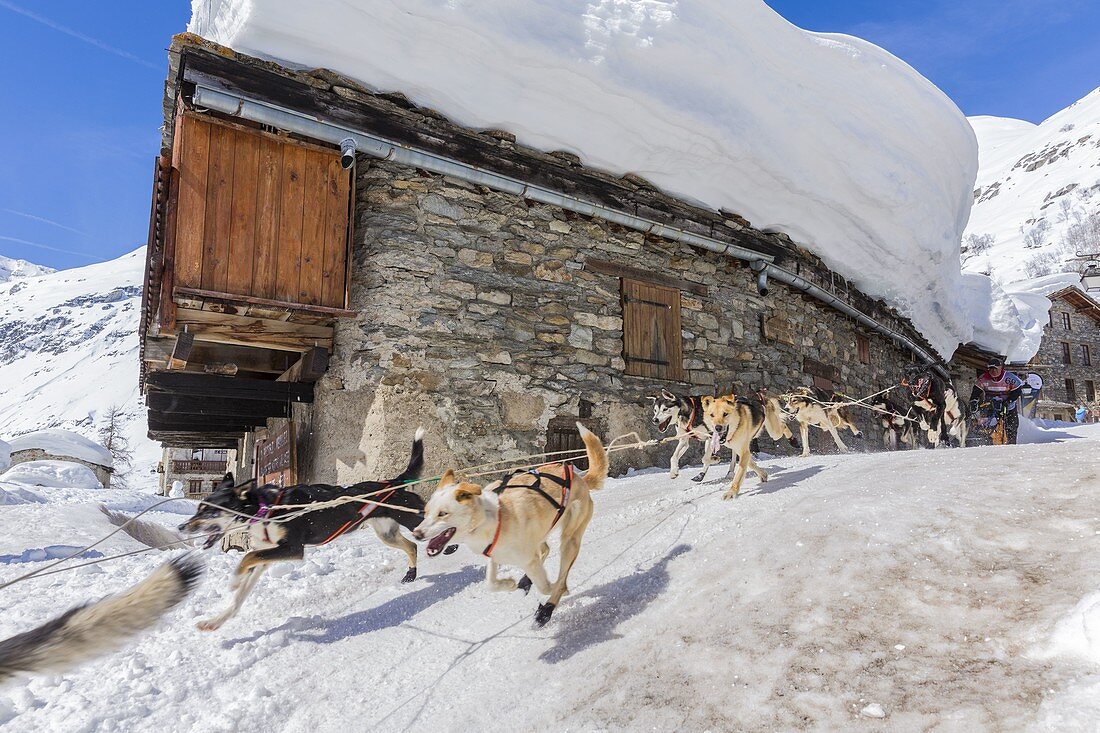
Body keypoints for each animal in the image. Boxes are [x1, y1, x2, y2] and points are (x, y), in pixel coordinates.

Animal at [180, 429, 437, 629]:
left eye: (208, 510)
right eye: (199, 508)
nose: (182, 526)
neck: (266, 507)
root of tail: (394, 482)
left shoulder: (293, 548)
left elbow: (247, 558)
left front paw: (233, 580)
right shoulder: (268, 556)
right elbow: (241, 591)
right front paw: (215, 621)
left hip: (415, 520)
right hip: (387, 534)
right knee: (412, 546)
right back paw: (411, 574)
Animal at [413, 422, 607, 620]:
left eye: (442, 513)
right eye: (426, 512)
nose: (416, 533)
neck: (493, 519)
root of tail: (580, 478)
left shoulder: (529, 560)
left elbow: (548, 586)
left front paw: (556, 591)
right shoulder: (495, 554)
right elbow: (491, 583)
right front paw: (511, 584)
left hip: (570, 540)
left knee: (560, 568)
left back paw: (547, 608)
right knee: (545, 549)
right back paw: (526, 581)